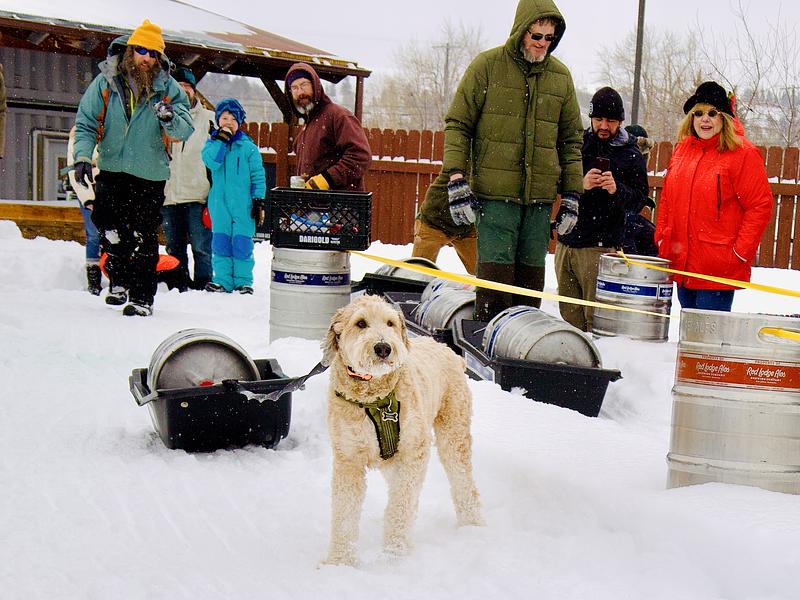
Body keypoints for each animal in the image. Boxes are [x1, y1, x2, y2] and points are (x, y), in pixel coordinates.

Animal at [320, 293, 483, 566]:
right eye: (361, 323)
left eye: (390, 323)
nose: (383, 348)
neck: (374, 397)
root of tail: (447, 348)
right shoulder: (348, 458)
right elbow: (344, 513)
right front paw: (339, 562)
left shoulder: (413, 451)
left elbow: (400, 504)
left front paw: (395, 554)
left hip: (453, 432)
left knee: (463, 482)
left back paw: (473, 527)